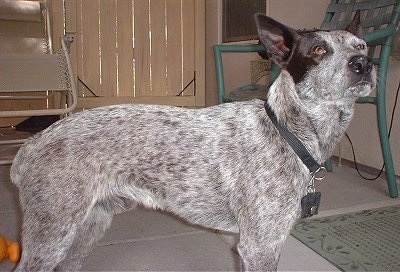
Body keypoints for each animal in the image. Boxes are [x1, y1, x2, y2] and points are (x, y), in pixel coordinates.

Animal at [12, 12, 376, 270]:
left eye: (362, 46)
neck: (287, 132)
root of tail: (32, 145)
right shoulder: (260, 246)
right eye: (319, 50)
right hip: (53, 234)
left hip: (88, 228)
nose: (364, 64)